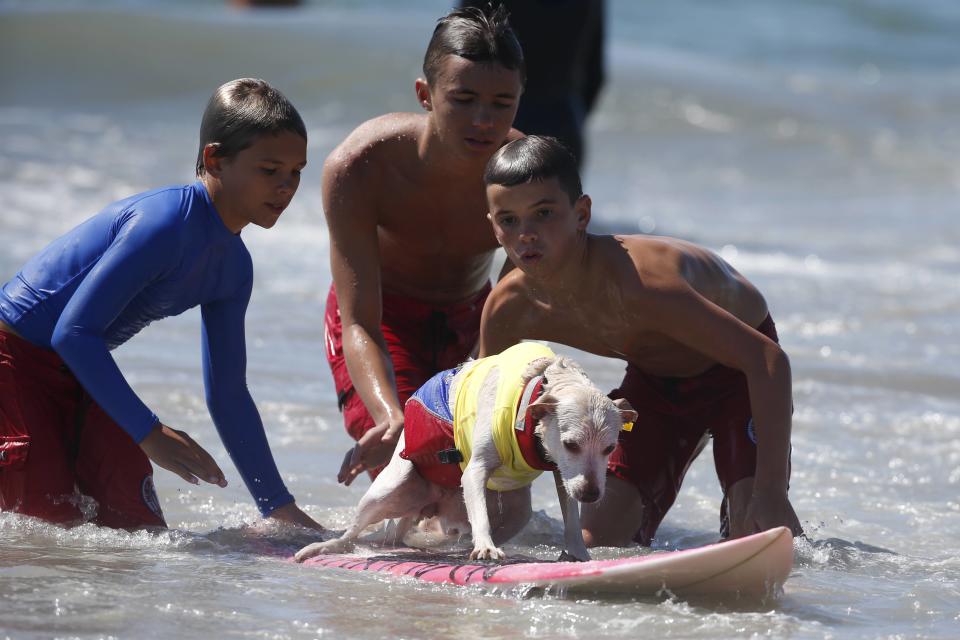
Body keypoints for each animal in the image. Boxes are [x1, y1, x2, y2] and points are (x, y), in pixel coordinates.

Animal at [294, 342, 636, 564]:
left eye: (610, 448)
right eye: (571, 444)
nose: (591, 494)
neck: (541, 383)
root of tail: (428, 507)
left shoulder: (563, 473)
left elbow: (572, 516)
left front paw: (579, 552)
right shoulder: (476, 469)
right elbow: (478, 502)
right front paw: (485, 546)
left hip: (516, 511)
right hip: (391, 488)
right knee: (353, 533)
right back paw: (323, 548)